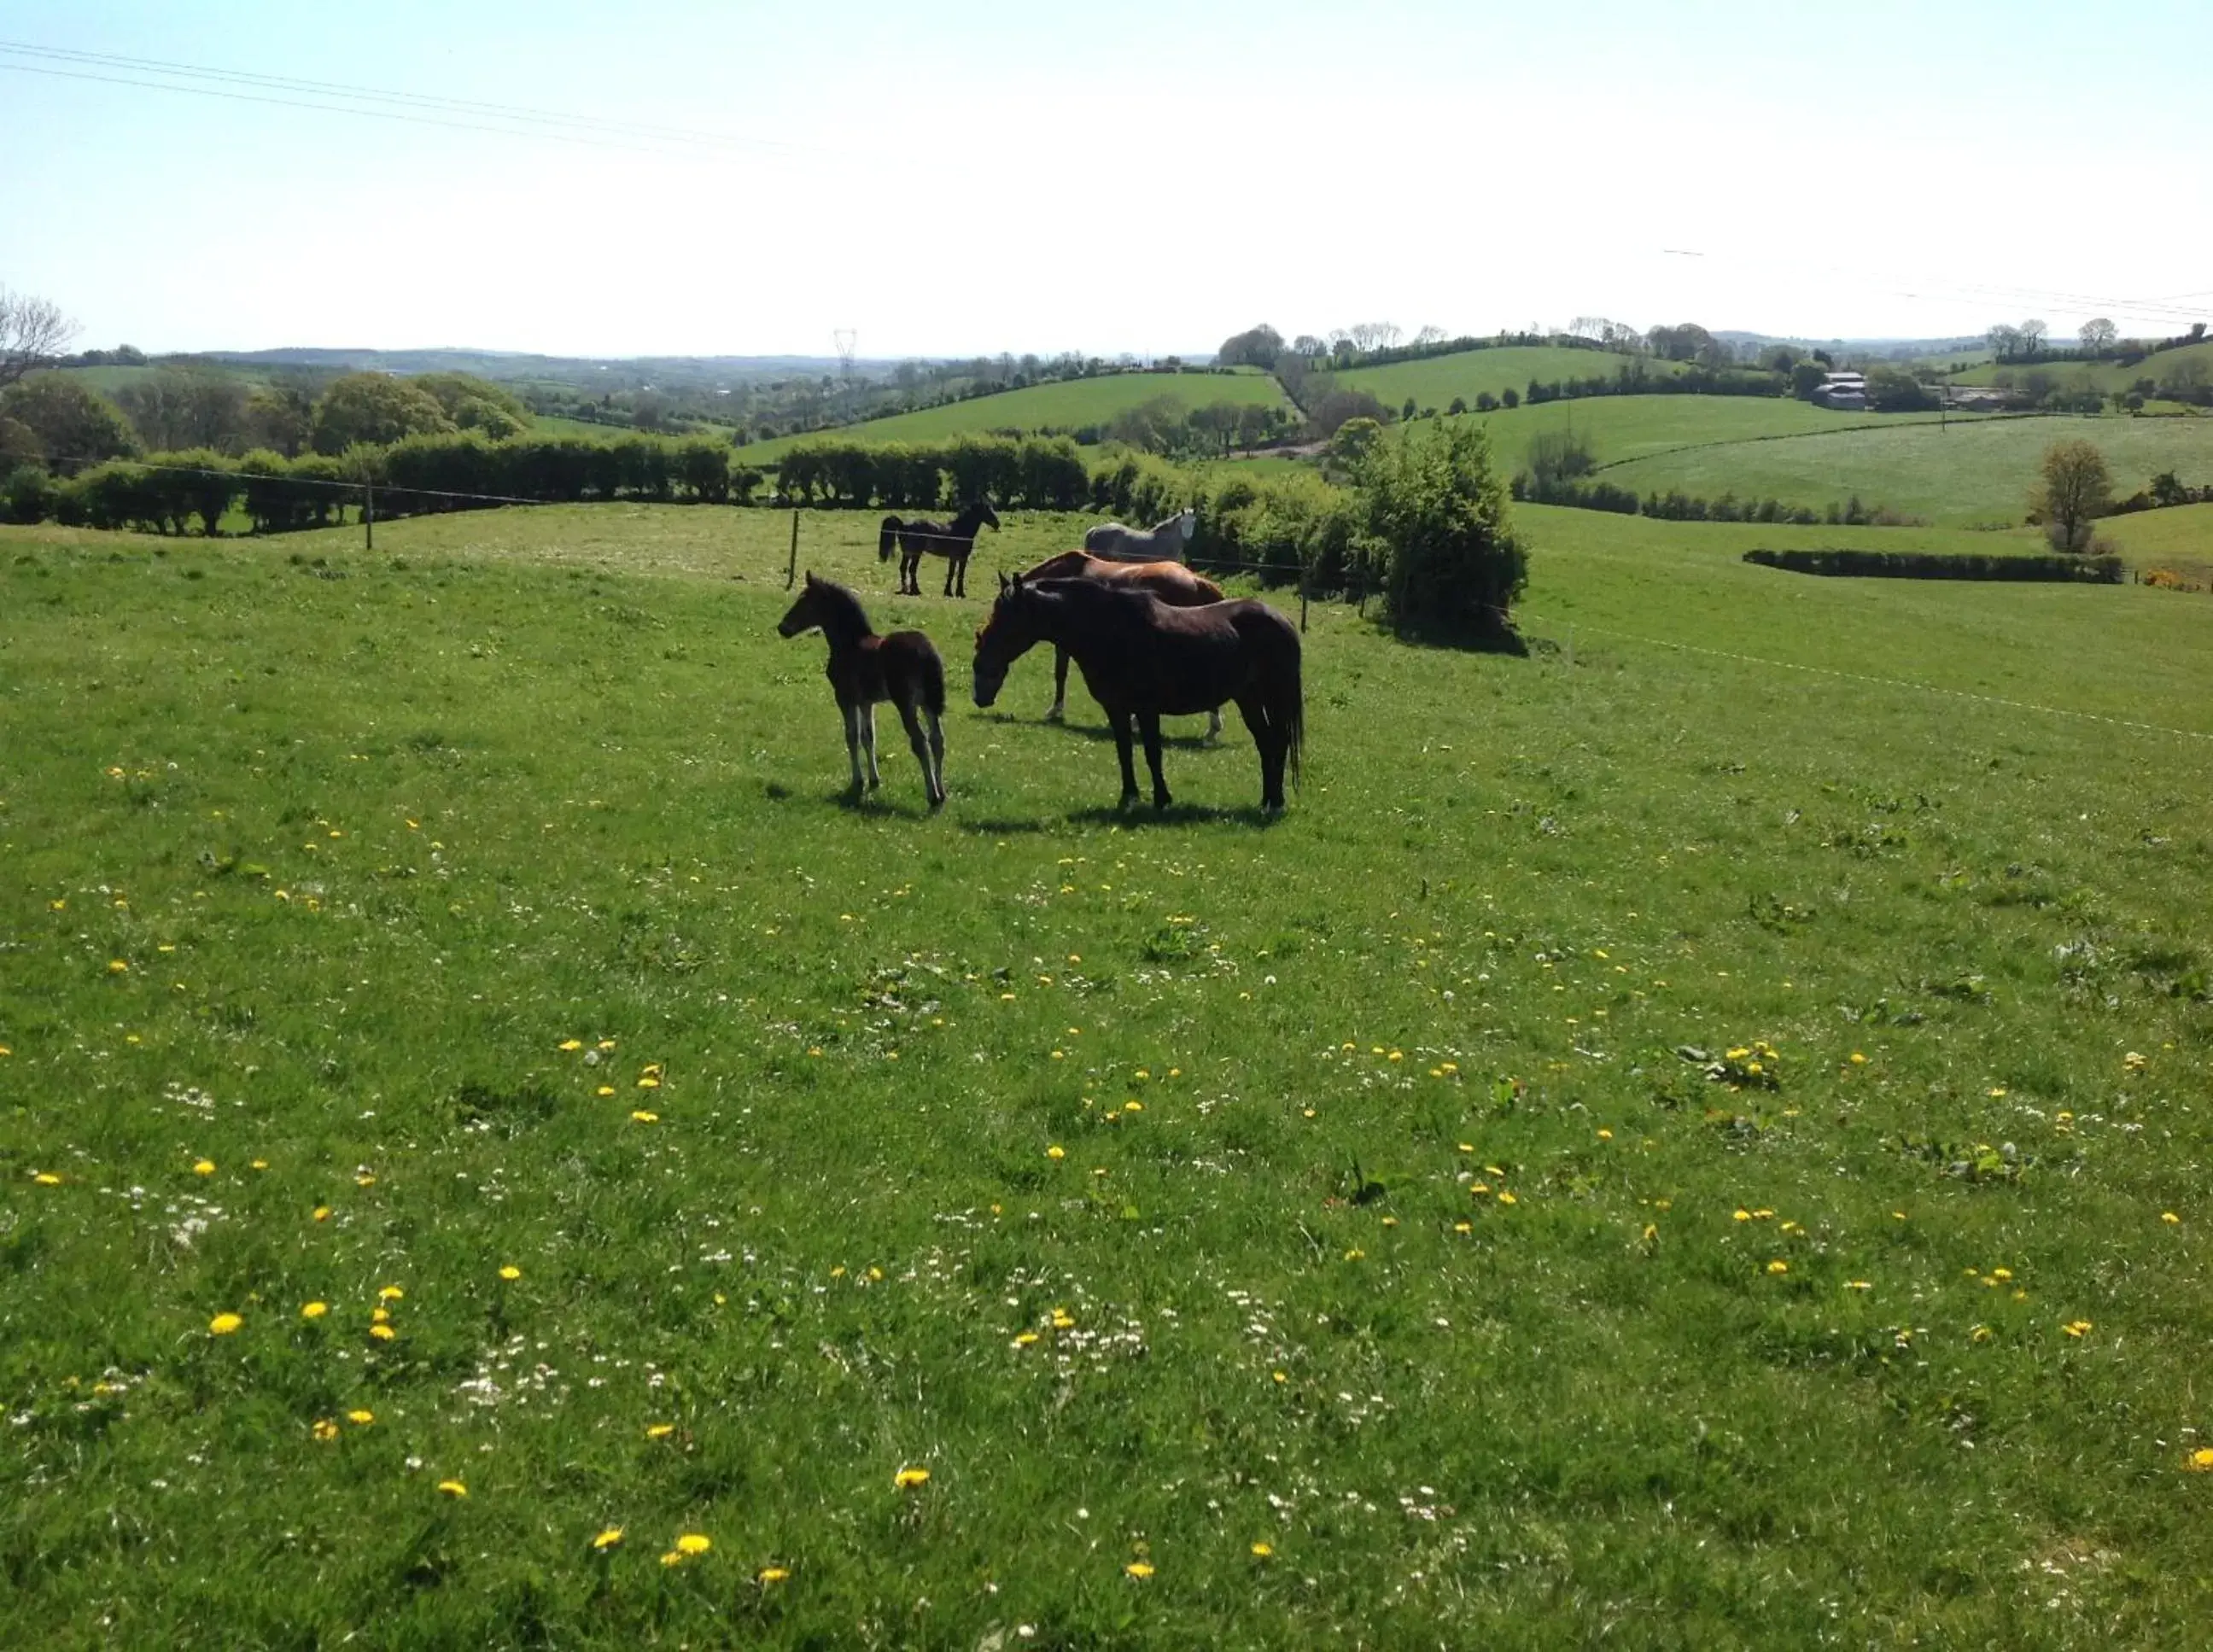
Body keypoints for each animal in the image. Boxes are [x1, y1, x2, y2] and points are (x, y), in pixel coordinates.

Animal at [783, 575, 947, 809]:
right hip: (928, 703)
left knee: (920, 742)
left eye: (805, 601)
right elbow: (868, 737)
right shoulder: (866, 702)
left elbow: (851, 737)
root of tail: (927, 653)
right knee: (937, 740)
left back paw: (932, 795)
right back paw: (942, 793)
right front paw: (874, 780)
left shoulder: (845, 698)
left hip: (906, 703)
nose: (782, 628)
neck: (850, 644)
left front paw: (857, 782)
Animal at [876, 499, 1000, 597]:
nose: (997, 524)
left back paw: (905, 589)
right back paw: (915, 591)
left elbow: (957, 574)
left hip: (907, 553)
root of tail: (903, 526)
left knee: (903, 568)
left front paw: (954, 593)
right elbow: (955, 574)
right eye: (987, 510)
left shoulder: (959, 558)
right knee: (912, 569)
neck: (961, 530)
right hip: (916, 553)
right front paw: (953, 593)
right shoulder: (958, 557)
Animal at [978, 575, 1301, 814]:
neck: (1111, 631)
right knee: (1266, 743)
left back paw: (1276, 803)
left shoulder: (1146, 710)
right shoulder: (1117, 709)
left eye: (1006, 619)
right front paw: (1129, 798)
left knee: (1278, 742)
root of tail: (1281, 619)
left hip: (1273, 697)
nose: (981, 665)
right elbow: (1125, 753)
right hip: (1249, 699)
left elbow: (1152, 753)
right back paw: (1267, 801)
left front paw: (1161, 799)